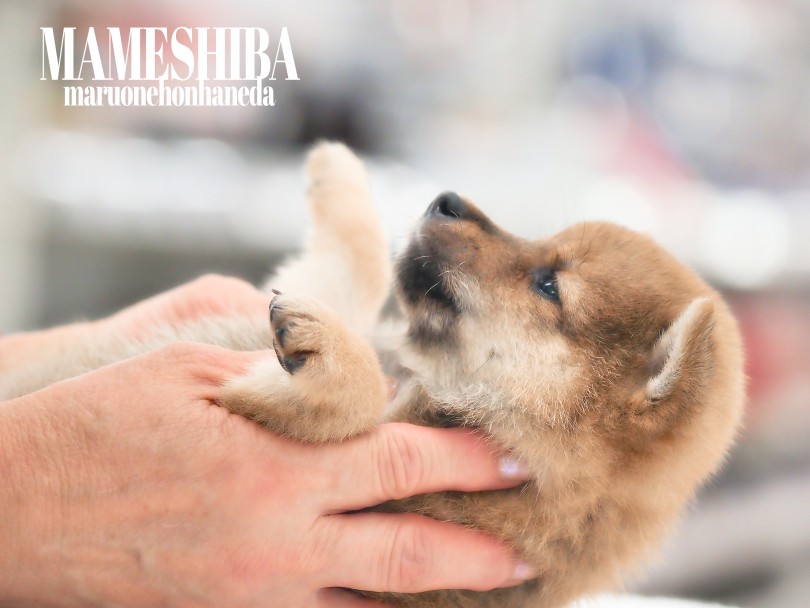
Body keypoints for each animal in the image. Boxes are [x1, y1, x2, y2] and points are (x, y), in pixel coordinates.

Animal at [1, 144, 744, 608]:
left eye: (547, 285)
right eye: (541, 250)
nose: (446, 199)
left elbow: (351, 401)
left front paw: (321, 354)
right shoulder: (332, 294)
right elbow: (353, 265)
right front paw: (338, 173)